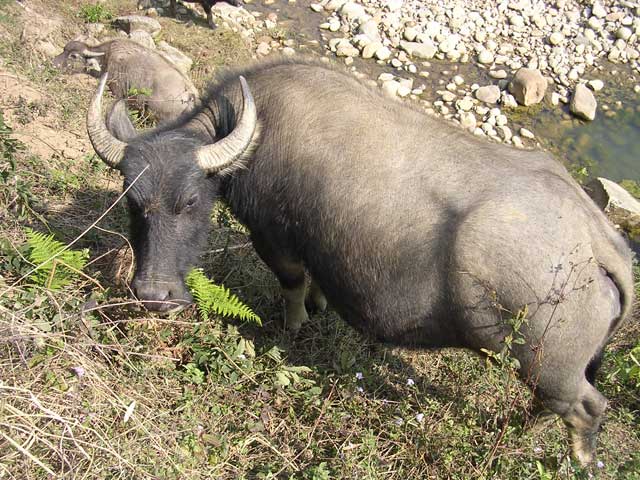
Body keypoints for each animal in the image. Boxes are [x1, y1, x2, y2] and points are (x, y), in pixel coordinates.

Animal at [86, 58, 635, 465]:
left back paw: (575, 457)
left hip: (548, 366)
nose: (153, 295)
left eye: (190, 202)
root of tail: (598, 241)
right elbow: (316, 284)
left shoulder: (275, 240)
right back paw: (512, 427)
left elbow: (291, 286)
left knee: (586, 408)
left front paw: (293, 327)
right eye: (133, 202)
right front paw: (319, 307)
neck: (257, 132)